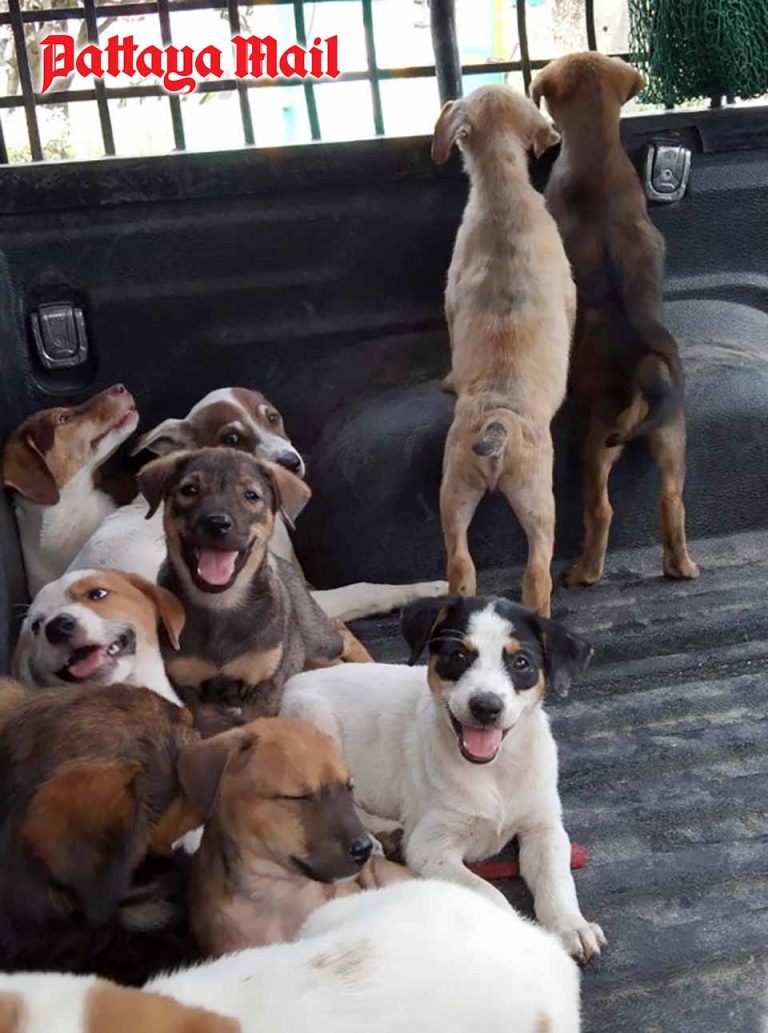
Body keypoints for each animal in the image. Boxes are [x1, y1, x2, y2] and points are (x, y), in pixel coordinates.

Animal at [138, 447, 363, 735]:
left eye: (251, 495)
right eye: (189, 490)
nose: (216, 523)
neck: (220, 604)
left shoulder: (264, 683)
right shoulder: (189, 687)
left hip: (318, 640)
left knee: (341, 633)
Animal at [283, 594, 605, 961]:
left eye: (521, 662)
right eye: (458, 655)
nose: (486, 706)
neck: (493, 772)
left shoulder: (544, 827)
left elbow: (556, 878)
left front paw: (572, 926)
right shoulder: (429, 846)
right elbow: (486, 891)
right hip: (316, 722)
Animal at [432, 86, 574, 617]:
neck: (501, 190)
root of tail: (497, 421)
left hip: (453, 491)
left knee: (460, 565)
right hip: (538, 499)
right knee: (537, 573)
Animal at [531, 53, 698, 585]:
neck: (598, 156)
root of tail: (646, 362)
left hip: (597, 440)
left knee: (600, 509)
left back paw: (585, 572)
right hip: (672, 435)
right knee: (672, 500)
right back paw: (681, 565)